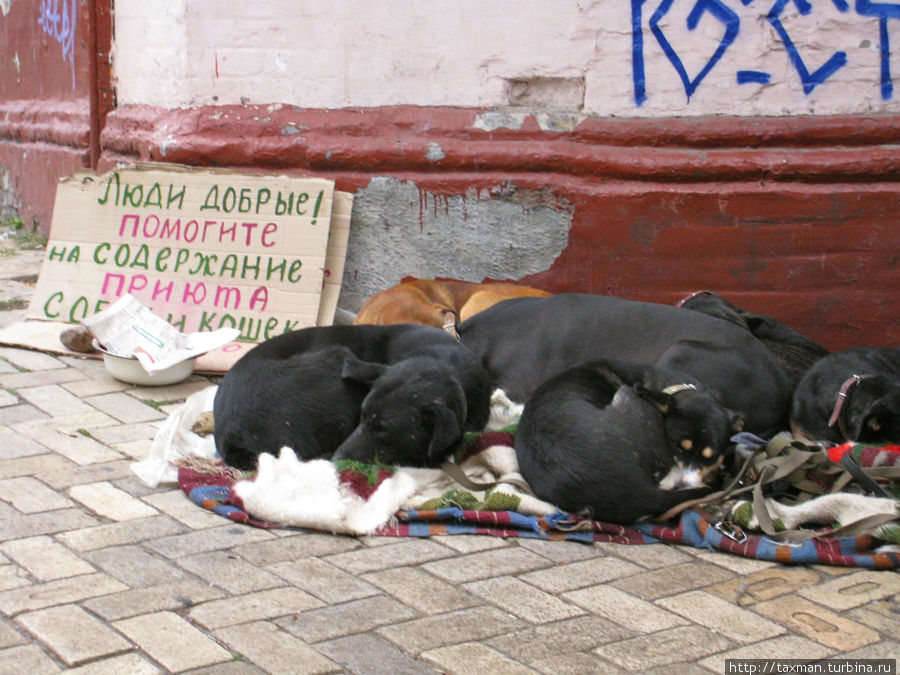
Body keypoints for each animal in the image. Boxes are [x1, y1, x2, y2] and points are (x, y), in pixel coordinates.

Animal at [213, 324, 492, 472]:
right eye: (362, 415)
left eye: (383, 429)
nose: (338, 459)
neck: (444, 363)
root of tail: (231, 436)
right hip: (338, 354)